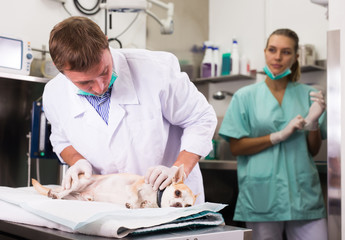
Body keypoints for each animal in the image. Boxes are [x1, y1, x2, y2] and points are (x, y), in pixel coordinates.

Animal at [31, 165, 196, 208]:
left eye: (187, 206)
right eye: (177, 193)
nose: (178, 205)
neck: (156, 197)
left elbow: (143, 204)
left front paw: (144, 204)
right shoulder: (134, 187)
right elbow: (134, 195)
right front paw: (132, 203)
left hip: (77, 198)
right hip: (78, 182)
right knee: (64, 190)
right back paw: (55, 193)